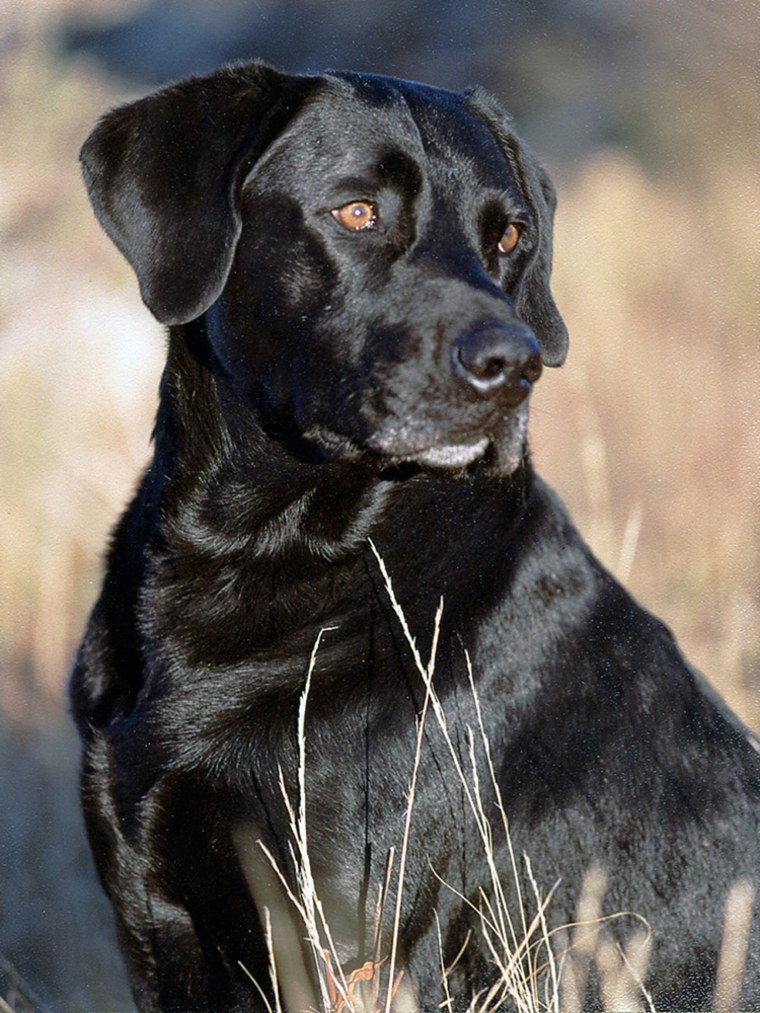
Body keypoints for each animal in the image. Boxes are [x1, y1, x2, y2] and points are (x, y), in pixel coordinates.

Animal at [69, 61, 757, 1004]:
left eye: (509, 236)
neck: (263, 558)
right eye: (358, 213)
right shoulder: (152, 913)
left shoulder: (350, 937)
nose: (515, 365)